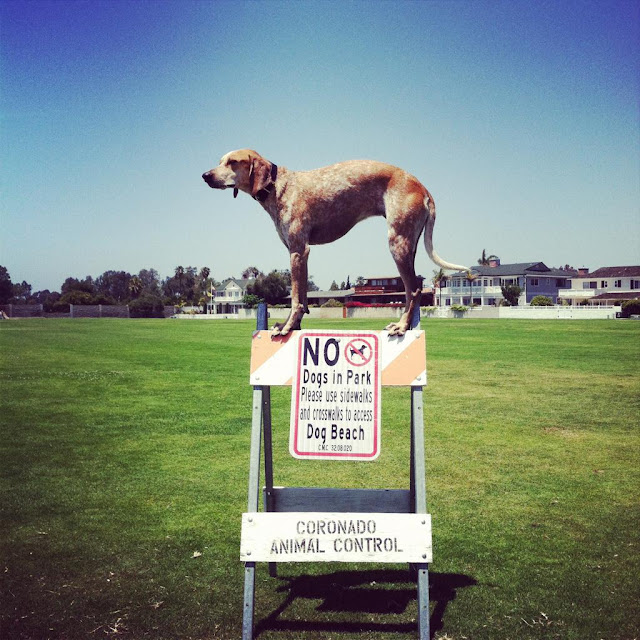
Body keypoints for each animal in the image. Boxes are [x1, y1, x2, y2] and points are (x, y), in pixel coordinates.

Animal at [202, 150, 468, 338]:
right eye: (221, 160)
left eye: (232, 162)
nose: (205, 175)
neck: (279, 186)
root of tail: (422, 187)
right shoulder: (301, 253)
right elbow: (303, 298)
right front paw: (293, 325)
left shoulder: (298, 250)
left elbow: (296, 297)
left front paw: (286, 327)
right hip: (408, 244)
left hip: (398, 244)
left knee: (413, 290)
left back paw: (402, 326)